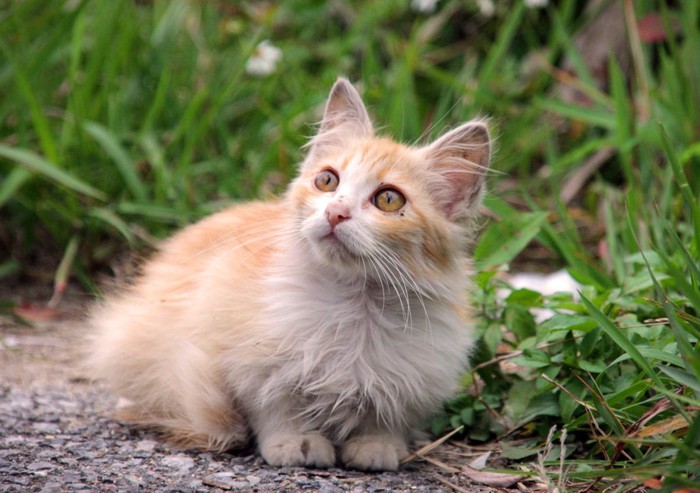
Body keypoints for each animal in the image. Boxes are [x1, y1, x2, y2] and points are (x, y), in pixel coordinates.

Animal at [87, 79, 490, 470]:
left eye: (389, 200)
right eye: (327, 181)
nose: (336, 212)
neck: (354, 301)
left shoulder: (411, 378)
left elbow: (383, 417)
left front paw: (377, 448)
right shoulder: (248, 364)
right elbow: (276, 408)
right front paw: (296, 443)